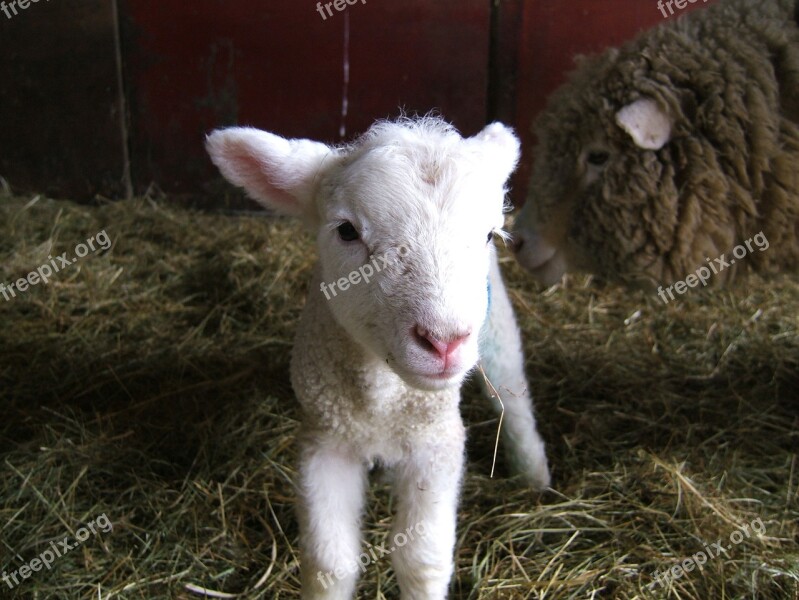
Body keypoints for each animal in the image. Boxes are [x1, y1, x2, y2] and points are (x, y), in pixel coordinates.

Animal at [206, 118, 552, 600]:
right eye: (347, 231)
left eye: (487, 234)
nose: (444, 340)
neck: (384, 397)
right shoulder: (325, 441)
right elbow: (329, 565)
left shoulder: (438, 442)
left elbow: (422, 560)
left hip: (496, 327)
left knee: (513, 395)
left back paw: (534, 473)